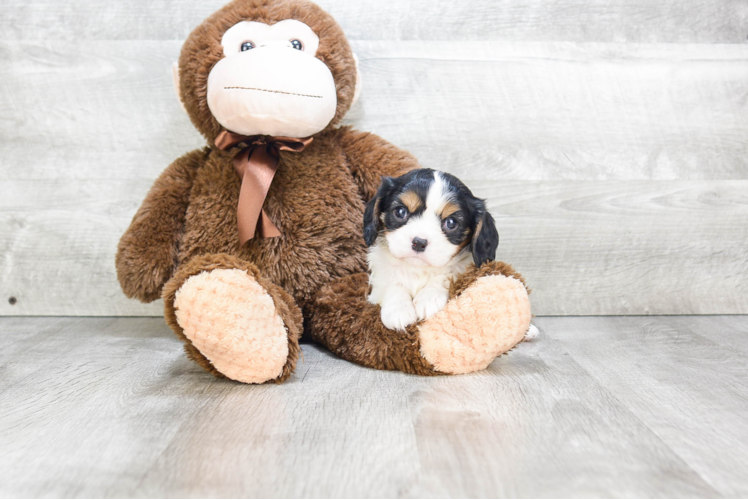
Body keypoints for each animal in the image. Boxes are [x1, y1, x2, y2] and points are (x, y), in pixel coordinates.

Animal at [366, 169, 500, 332]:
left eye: (451, 223)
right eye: (400, 212)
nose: (419, 242)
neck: (418, 269)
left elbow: (448, 273)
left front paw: (429, 297)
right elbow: (390, 281)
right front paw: (398, 308)